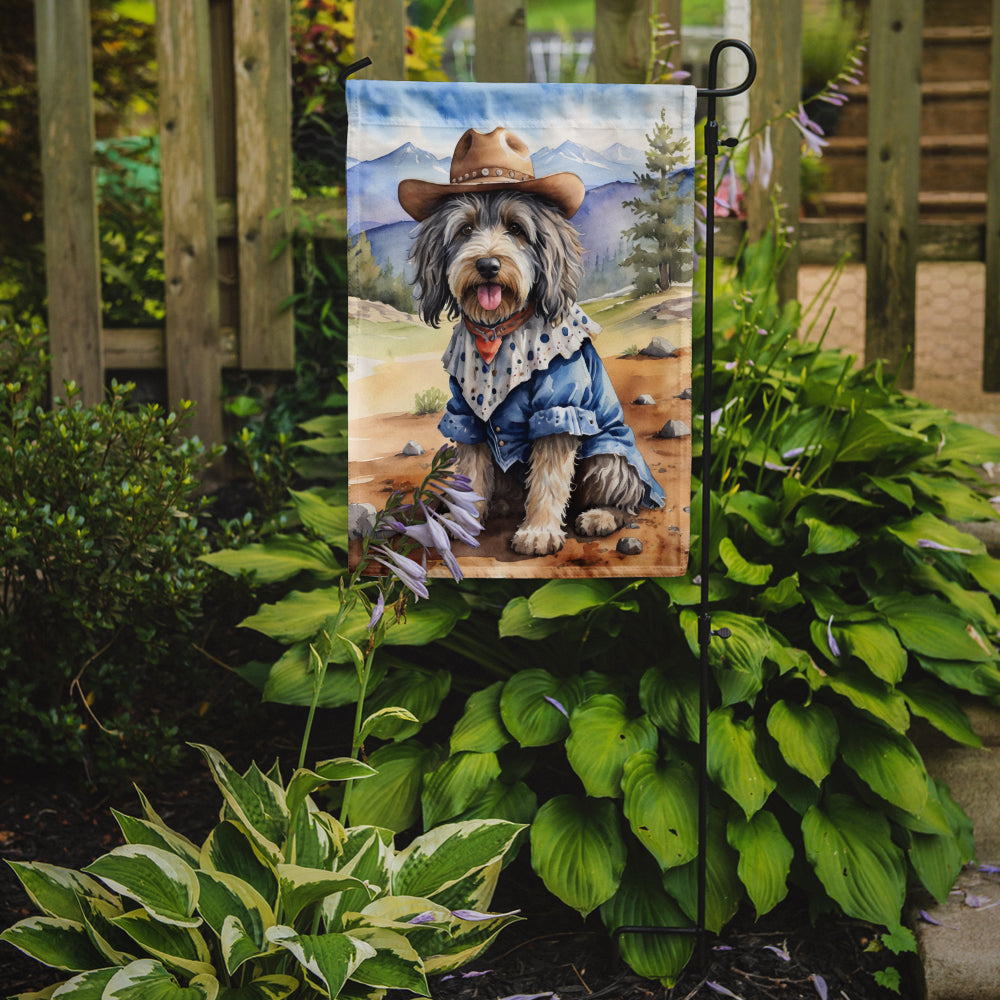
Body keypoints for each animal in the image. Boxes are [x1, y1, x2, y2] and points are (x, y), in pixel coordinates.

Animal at [398, 127, 664, 556]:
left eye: (517, 229)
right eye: (465, 230)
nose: (488, 265)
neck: (497, 332)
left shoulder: (559, 409)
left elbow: (549, 479)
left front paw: (538, 532)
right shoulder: (465, 413)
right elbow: (471, 471)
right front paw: (461, 521)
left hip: (607, 458)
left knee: (627, 503)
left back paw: (600, 516)